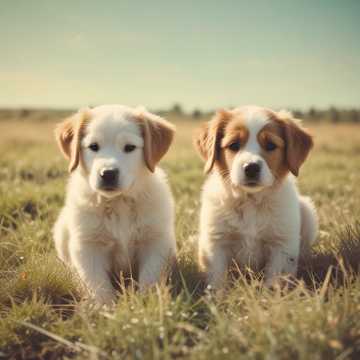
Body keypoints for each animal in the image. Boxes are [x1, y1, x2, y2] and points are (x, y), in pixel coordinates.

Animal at [53, 104, 176, 304]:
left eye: (129, 147)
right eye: (93, 147)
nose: (108, 174)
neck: (119, 202)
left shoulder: (155, 241)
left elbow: (150, 278)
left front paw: (146, 304)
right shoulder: (88, 245)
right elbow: (97, 284)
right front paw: (104, 308)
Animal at [194, 105, 318, 288]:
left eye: (271, 145)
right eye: (234, 145)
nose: (251, 167)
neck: (250, 201)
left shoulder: (281, 244)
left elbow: (274, 279)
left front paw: (271, 295)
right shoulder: (216, 242)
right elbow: (217, 278)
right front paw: (216, 296)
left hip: (307, 211)